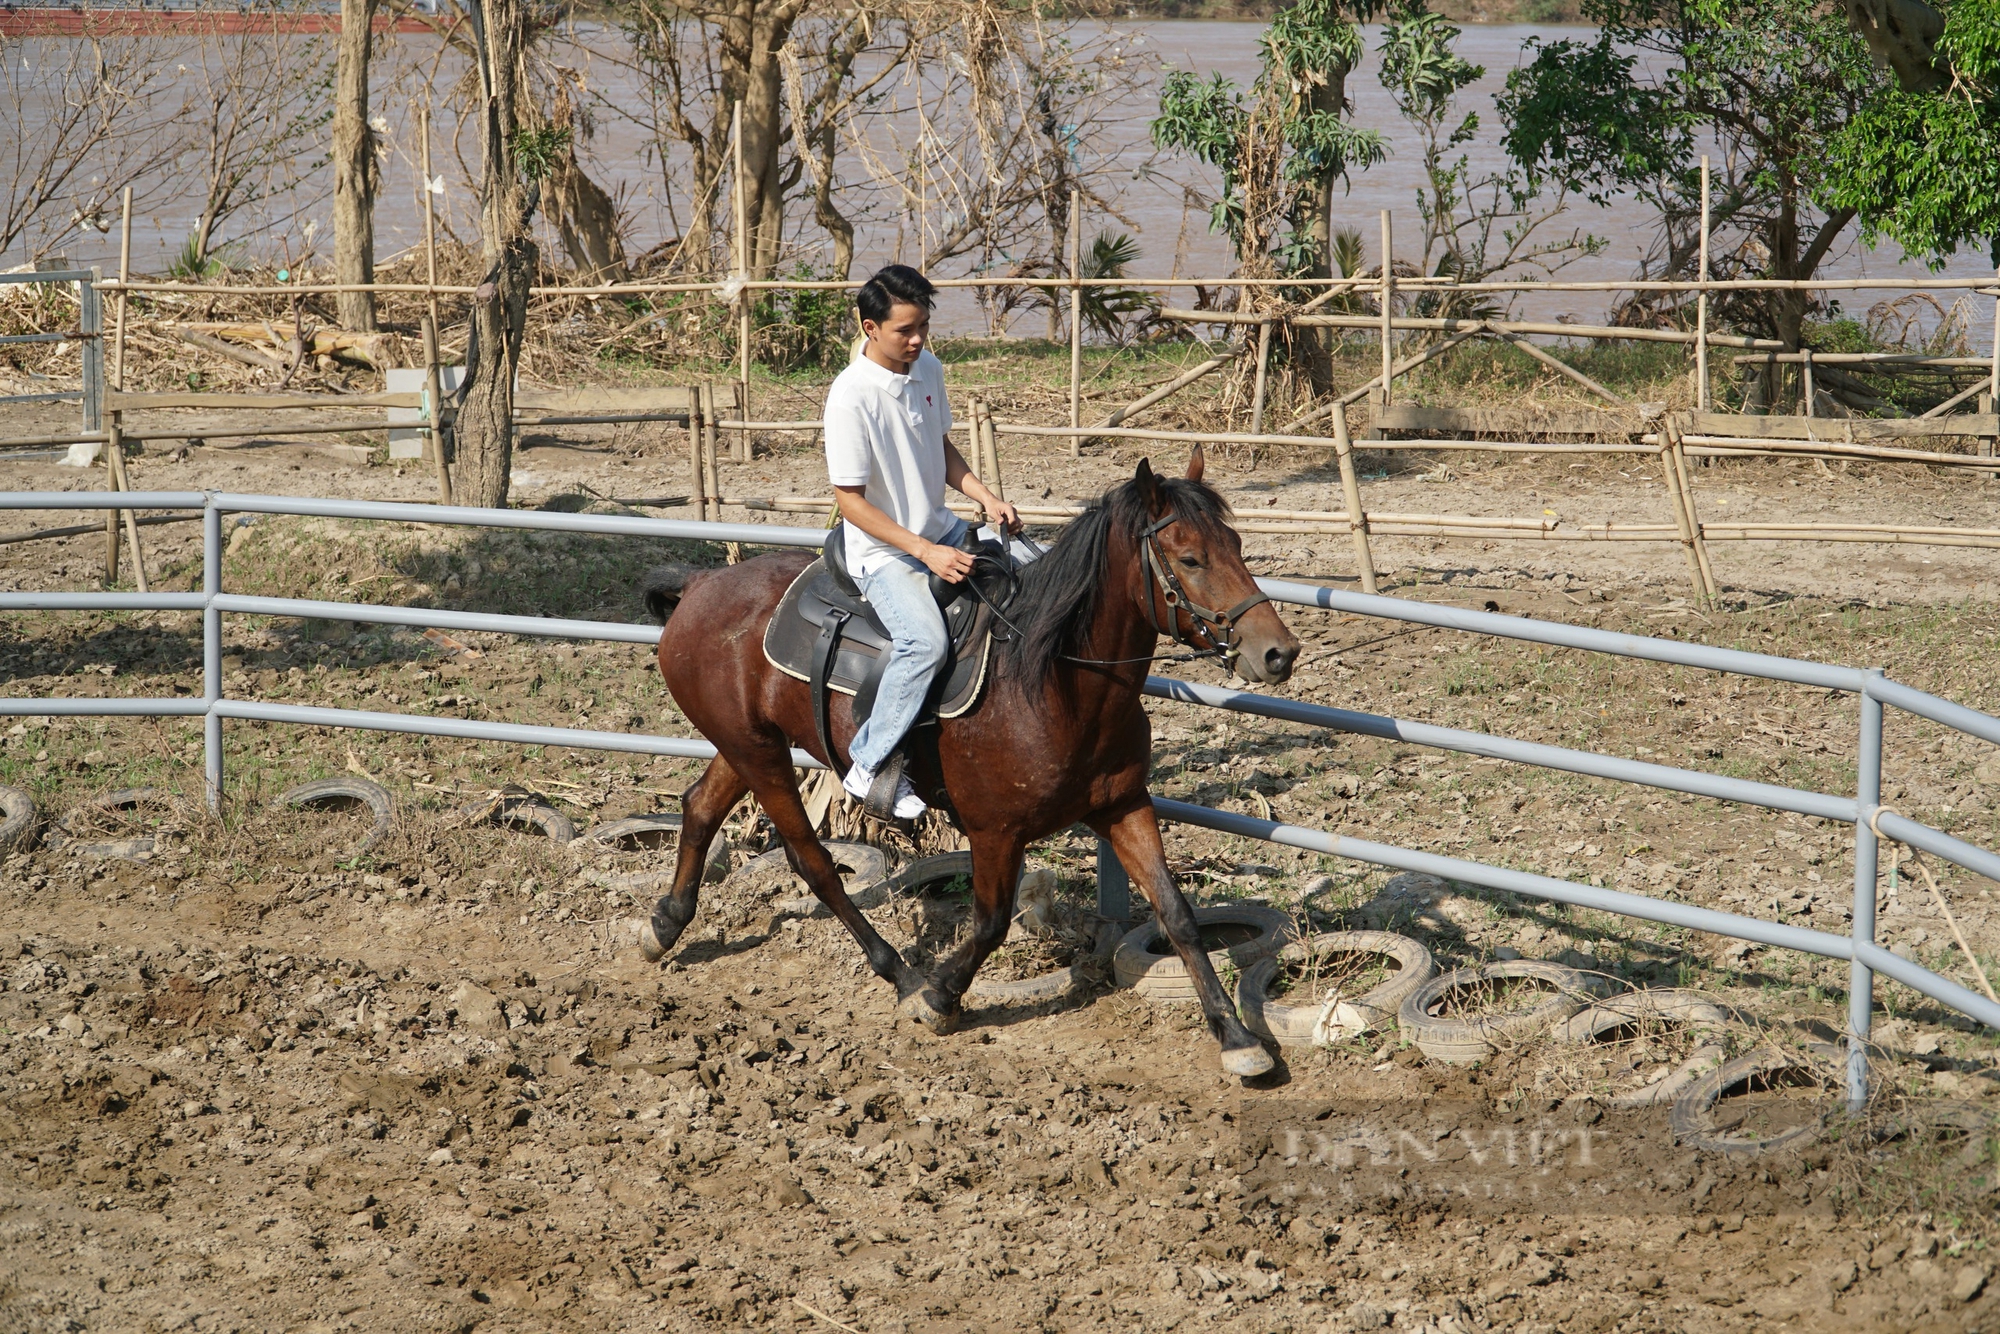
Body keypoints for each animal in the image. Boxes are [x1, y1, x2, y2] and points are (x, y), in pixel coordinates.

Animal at [636, 454, 1296, 1080]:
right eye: (1189, 558)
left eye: (1236, 545)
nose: (1279, 653)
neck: (1050, 681)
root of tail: (702, 582)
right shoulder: (994, 832)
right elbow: (990, 923)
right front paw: (938, 996)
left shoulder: (1123, 805)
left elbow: (1177, 914)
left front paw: (1236, 1038)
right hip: (761, 756)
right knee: (813, 861)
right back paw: (900, 975)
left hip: (747, 746)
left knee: (700, 807)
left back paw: (664, 925)